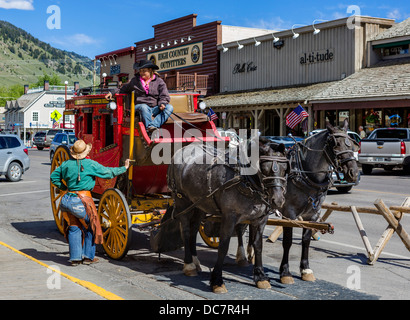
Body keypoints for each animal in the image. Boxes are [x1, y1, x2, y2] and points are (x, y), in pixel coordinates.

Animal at [166, 139, 288, 294]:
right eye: (265, 169)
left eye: (285, 168)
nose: (278, 200)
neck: (244, 180)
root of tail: (183, 149)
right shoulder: (229, 217)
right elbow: (223, 247)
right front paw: (217, 280)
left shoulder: (260, 219)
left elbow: (258, 246)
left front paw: (260, 276)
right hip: (182, 201)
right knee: (187, 231)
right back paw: (189, 265)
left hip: (199, 205)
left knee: (193, 231)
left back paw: (195, 261)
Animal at [278, 121, 358, 284]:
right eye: (335, 144)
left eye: (352, 144)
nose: (353, 173)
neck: (304, 174)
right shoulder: (288, 212)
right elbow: (288, 241)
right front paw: (285, 272)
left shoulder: (313, 214)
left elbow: (306, 240)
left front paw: (305, 269)